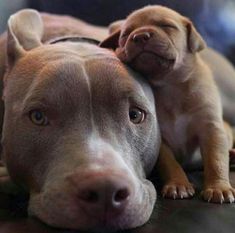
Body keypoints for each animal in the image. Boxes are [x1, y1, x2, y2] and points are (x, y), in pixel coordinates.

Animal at [100, 4, 235, 203]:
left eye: (167, 26)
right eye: (125, 34)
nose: (140, 36)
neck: (170, 86)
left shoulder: (211, 128)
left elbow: (215, 159)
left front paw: (219, 187)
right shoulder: (160, 140)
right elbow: (169, 163)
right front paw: (178, 184)